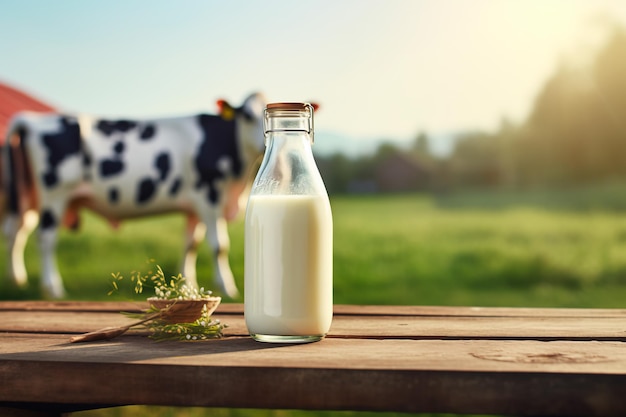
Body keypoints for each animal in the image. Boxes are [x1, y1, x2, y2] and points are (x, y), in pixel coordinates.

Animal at [0, 92, 264, 298]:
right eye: (247, 116)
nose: (263, 143)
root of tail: (31, 119)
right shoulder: (210, 196)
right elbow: (220, 246)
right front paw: (228, 288)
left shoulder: (194, 206)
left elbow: (190, 245)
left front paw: (187, 286)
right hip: (54, 195)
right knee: (45, 239)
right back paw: (52, 288)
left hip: (28, 198)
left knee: (17, 233)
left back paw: (18, 280)